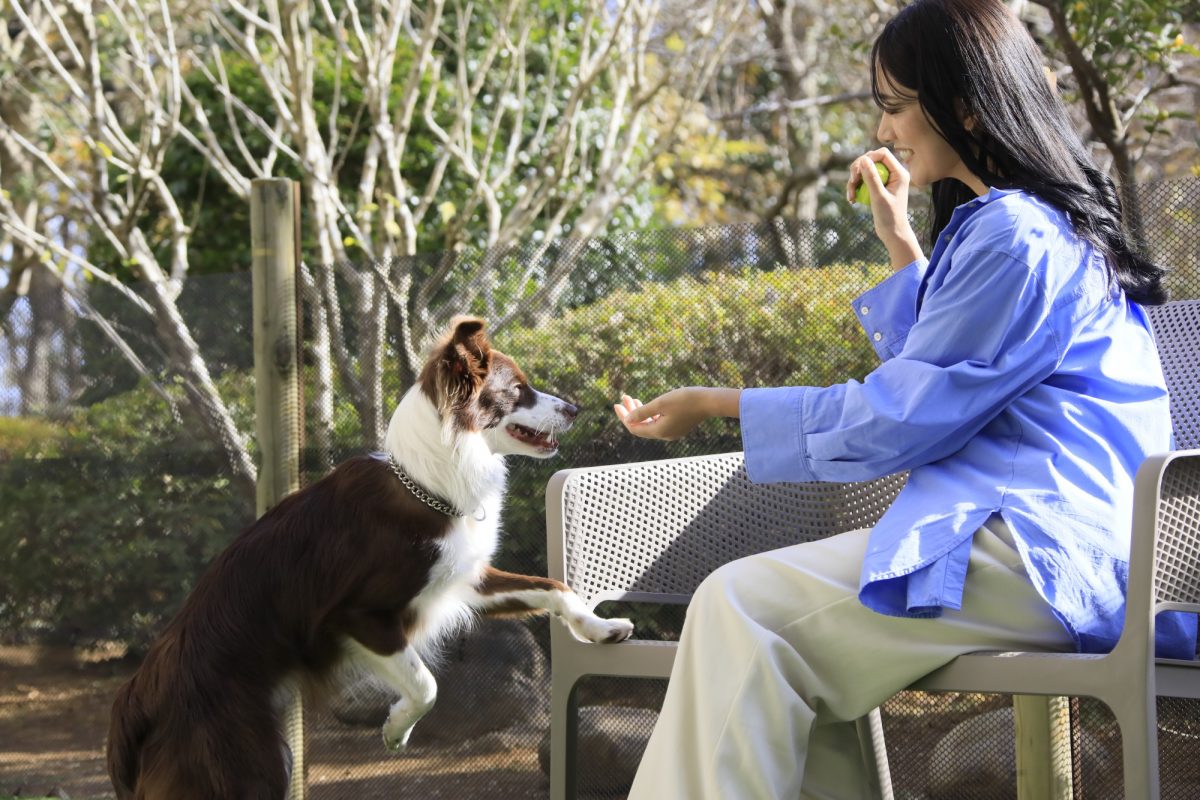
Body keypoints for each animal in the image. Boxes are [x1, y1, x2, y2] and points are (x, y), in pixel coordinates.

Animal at [106, 319, 633, 800]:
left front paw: (601, 628)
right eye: (518, 389)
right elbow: (426, 684)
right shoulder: (357, 615)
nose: (576, 408)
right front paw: (396, 728)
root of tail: (137, 698)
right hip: (245, 764)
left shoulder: (464, 580)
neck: (426, 484)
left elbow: (554, 588)